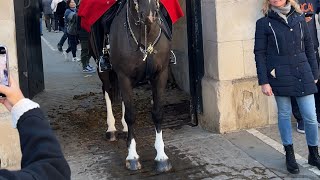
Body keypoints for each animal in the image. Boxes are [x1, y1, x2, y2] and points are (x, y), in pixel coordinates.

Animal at [89, 0, 174, 172]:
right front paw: (132, 156)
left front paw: (161, 156)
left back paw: (124, 128)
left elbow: (157, 113)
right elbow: (131, 115)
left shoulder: (160, 74)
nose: (149, 16)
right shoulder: (124, 76)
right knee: (107, 90)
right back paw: (111, 129)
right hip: (104, 72)